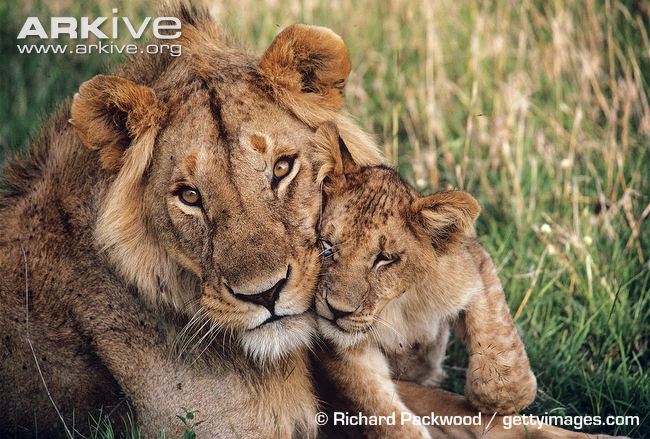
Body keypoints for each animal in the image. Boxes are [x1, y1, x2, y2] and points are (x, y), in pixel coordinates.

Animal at [311, 123, 623, 439]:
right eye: (326, 245)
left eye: (385, 258)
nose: (336, 310)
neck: (395, 307)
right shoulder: (346, 356)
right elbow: (386, 414)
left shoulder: (473, 264)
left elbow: (496, 334)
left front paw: (503, 397)